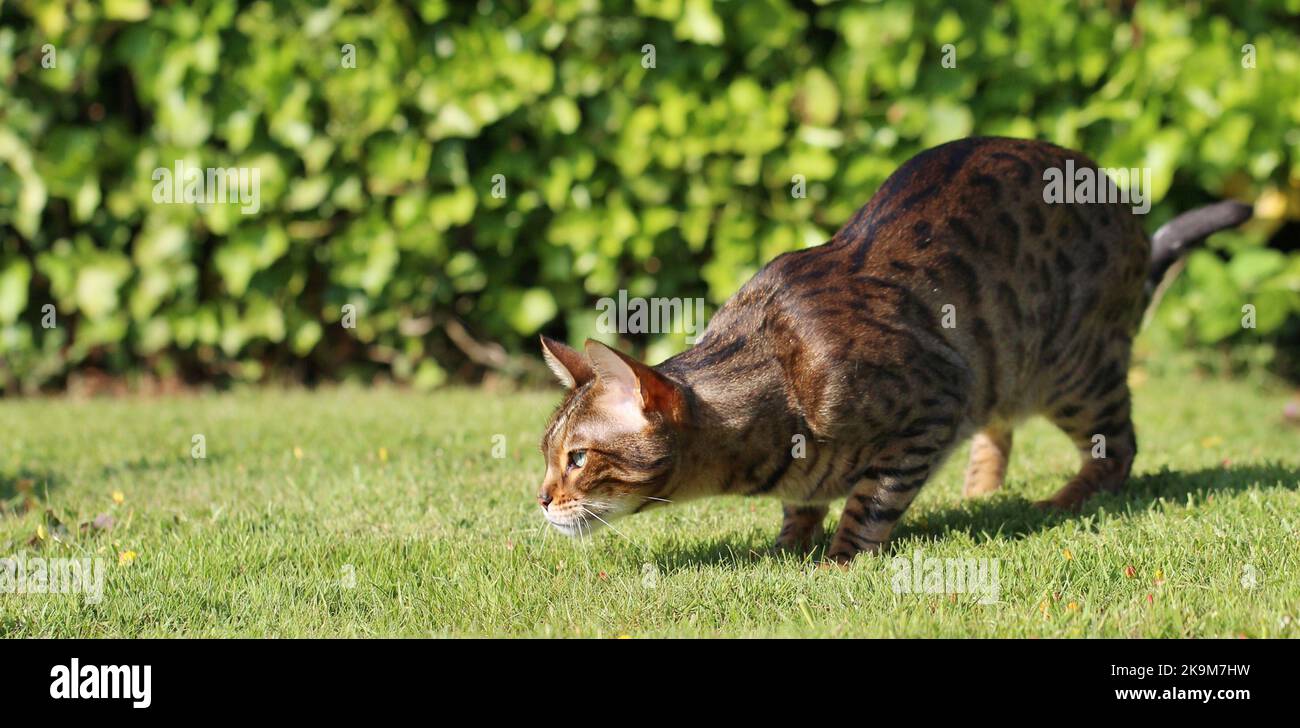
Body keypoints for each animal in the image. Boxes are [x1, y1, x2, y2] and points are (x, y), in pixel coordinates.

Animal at [535, 136, 1248, 564]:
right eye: (547, 455)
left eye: (577, 458)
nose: (540, 498)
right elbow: (803, 503)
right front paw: (790, 544)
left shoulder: (936, 402)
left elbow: (871, 502)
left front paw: (838, 561)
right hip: (1005, 365)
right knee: (1002, 424)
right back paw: (981, 490)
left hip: (1073, 372)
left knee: (1118, 448)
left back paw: (1066, 498)